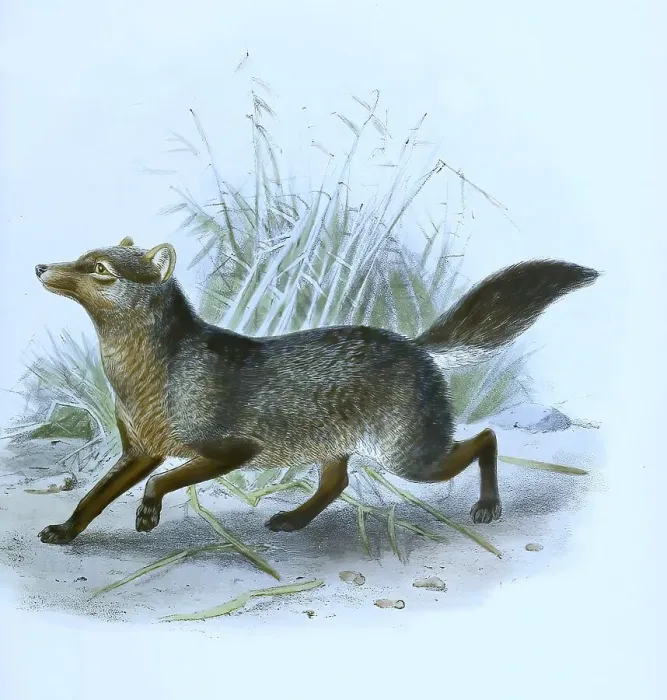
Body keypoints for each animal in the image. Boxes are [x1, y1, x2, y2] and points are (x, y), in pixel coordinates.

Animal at [34, 237, 598, 545]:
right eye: (81, 257)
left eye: (100, 270)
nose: (40, 266)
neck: (148, 376)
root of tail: (412, 344)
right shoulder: (140, 450)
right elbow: (93, 496)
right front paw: (65, 532)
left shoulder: (231, 450)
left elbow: (162, 481)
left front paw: (148, 513)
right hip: (342, 448)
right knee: (337, 483)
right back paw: (293, 519)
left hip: (410, 459)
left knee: (486, 439)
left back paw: (488, 506)